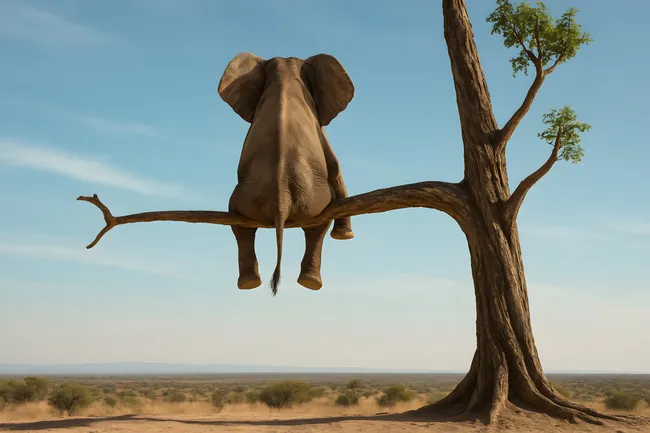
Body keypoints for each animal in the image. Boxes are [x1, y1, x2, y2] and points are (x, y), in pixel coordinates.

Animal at [218, 53, 355, 296]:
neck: (285, 70)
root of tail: (280, 201)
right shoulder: (317, 121)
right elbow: (334, 164)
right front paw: (345, 235)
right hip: (315, 196)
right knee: (317, 225)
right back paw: (307, 283)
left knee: (241, 225)